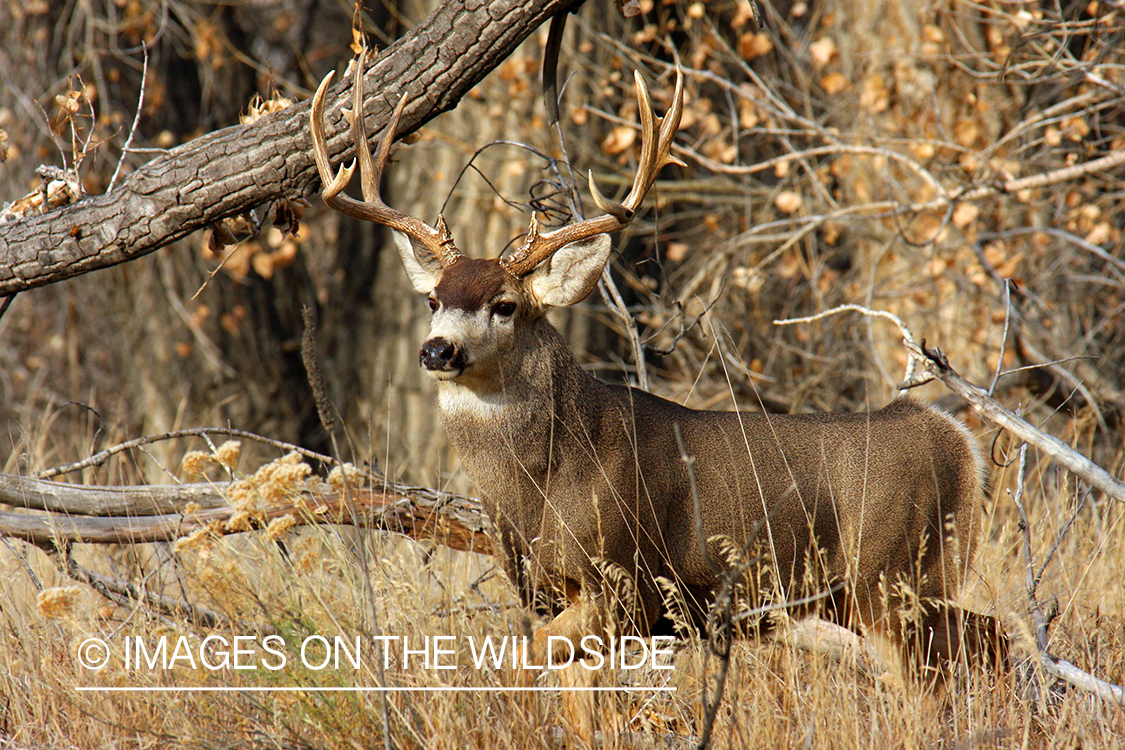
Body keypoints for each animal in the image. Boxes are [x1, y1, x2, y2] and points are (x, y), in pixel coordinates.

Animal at [309, 52, 1007, 684]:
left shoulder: (622, 582)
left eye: (505, 305)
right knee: (988, 642)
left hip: (894, 576)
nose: (437, 350)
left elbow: (525, 669)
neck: (542, 484)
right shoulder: (557, 596)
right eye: (433, 300)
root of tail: (956, 438)